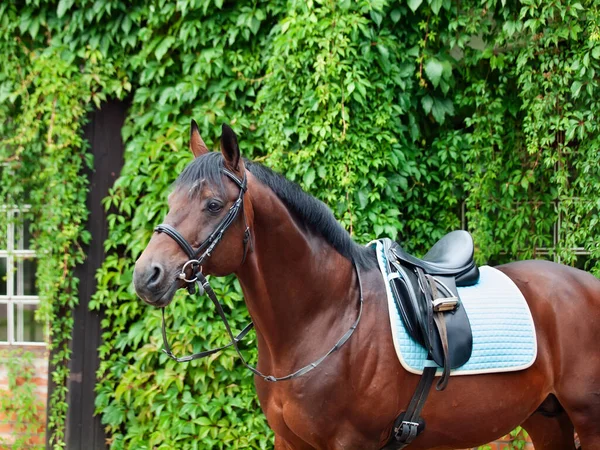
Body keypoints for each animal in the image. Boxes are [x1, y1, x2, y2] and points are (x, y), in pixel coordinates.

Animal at [134, 122, 600, 450]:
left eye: (213, 204)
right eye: (171, 201)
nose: (147, 275)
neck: (325, 318)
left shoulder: (349, 444)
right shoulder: (289, 442)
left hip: (588, 419)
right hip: (545, 417)